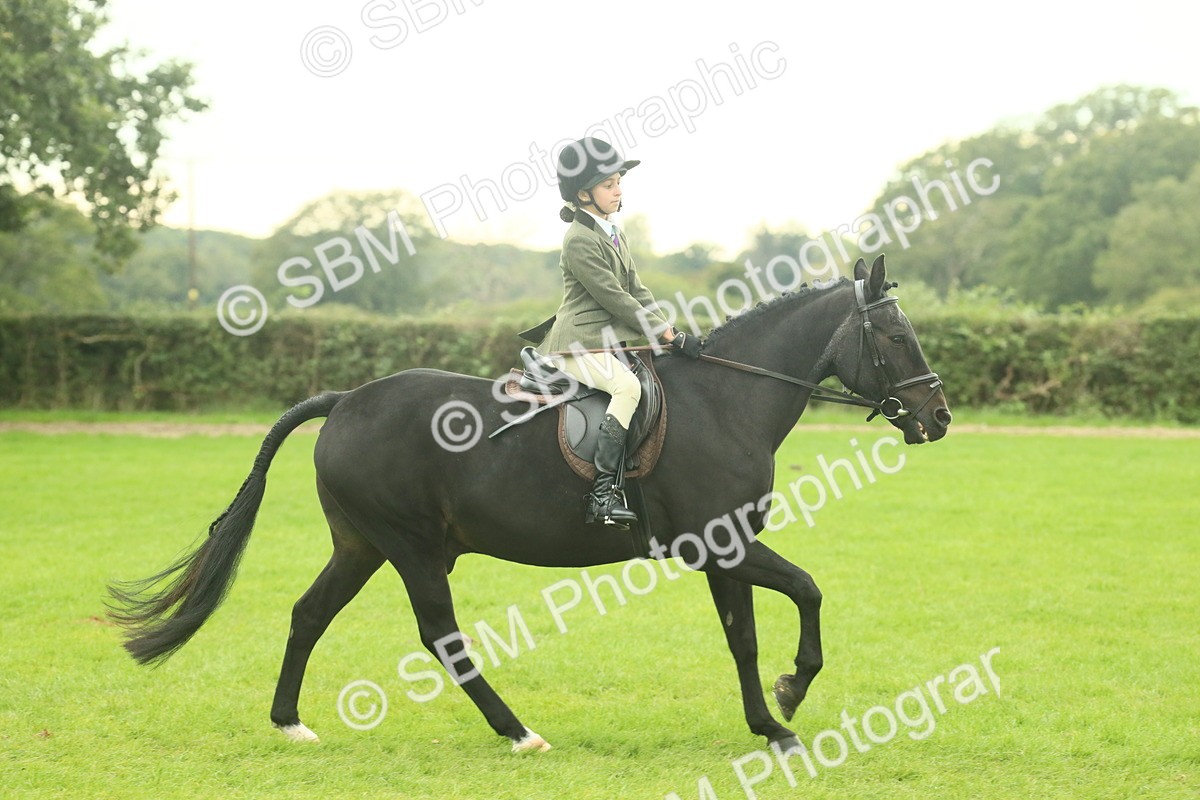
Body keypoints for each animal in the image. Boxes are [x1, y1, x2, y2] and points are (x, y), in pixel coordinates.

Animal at [108, 254, 951, 754]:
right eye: (896, 337)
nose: (938, 417)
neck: (727, 399)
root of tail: (346, 400)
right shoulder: (724, 543)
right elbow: (808, 592)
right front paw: (791, 691)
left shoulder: (727, 548)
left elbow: (742, 637)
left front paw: (769, 724)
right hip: (412, 549)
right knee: (440, 637)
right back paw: (517, 733)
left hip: (362, 545)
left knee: (309, 614)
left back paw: (290, 722)